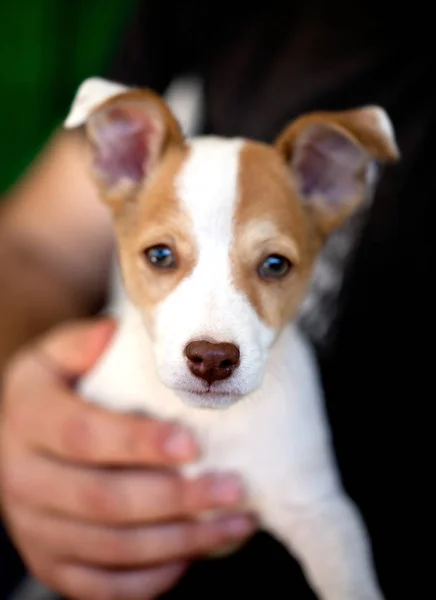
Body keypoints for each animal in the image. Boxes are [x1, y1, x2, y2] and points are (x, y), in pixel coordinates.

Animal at [63, 77, 398, 600]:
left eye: (275, 264)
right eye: (160, 255)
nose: (212, 359)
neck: (208, 427)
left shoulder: (322, 512)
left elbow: (350, 583)